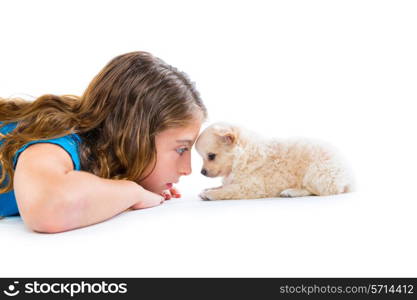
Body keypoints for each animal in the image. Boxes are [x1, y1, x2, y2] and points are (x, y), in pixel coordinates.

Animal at [194, 122, 352, 202]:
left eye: (211, 156)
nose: (202, 172)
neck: (242, 156)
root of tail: (348, 179)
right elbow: (224, 185)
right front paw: (209, 189)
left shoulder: (251, 186)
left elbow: (229, 190)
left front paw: (211, 194)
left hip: (317, 173)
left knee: (318, 191)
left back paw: (291, 192)